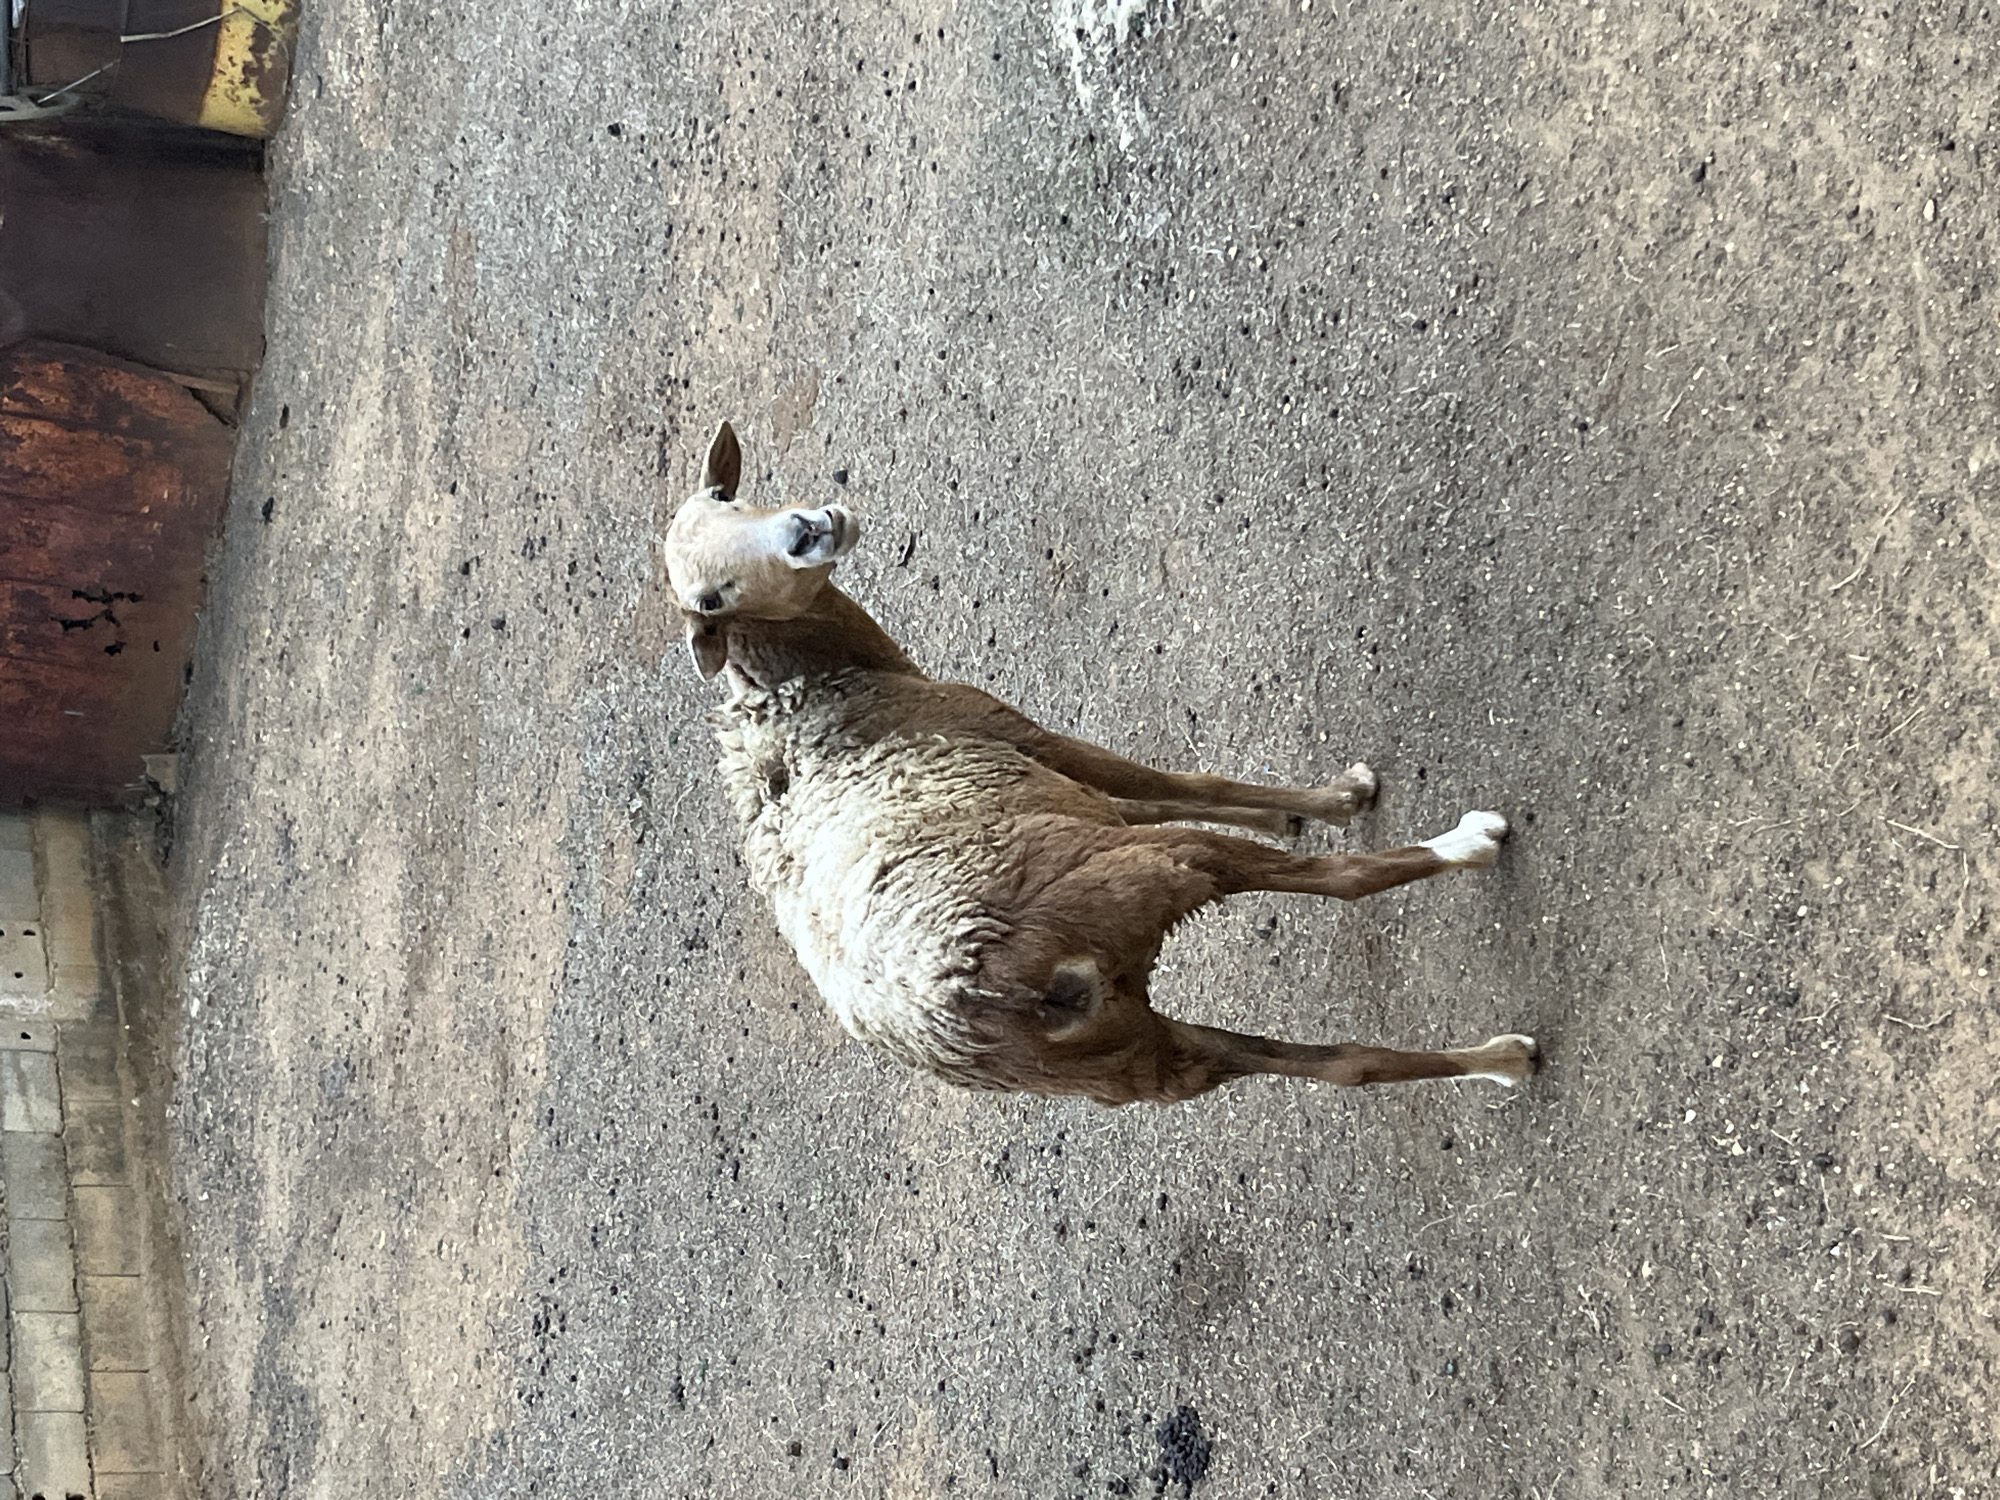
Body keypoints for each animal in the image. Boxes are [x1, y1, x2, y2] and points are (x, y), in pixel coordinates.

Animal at [661, 422, 1537, 1105]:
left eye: (729, 499)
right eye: (709, 598)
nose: (810, 528)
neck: (811, 690)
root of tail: (990, 996)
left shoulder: (1049, 779)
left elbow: (1154, 793)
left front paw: (1290, 810)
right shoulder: (1023, 736)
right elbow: (1179, 784)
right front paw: (1333, 800)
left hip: (1136, 1064)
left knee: (1343, 1067)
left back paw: (1501, 1061)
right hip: (1152, 877)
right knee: (1341, 882)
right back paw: (1470, 848)